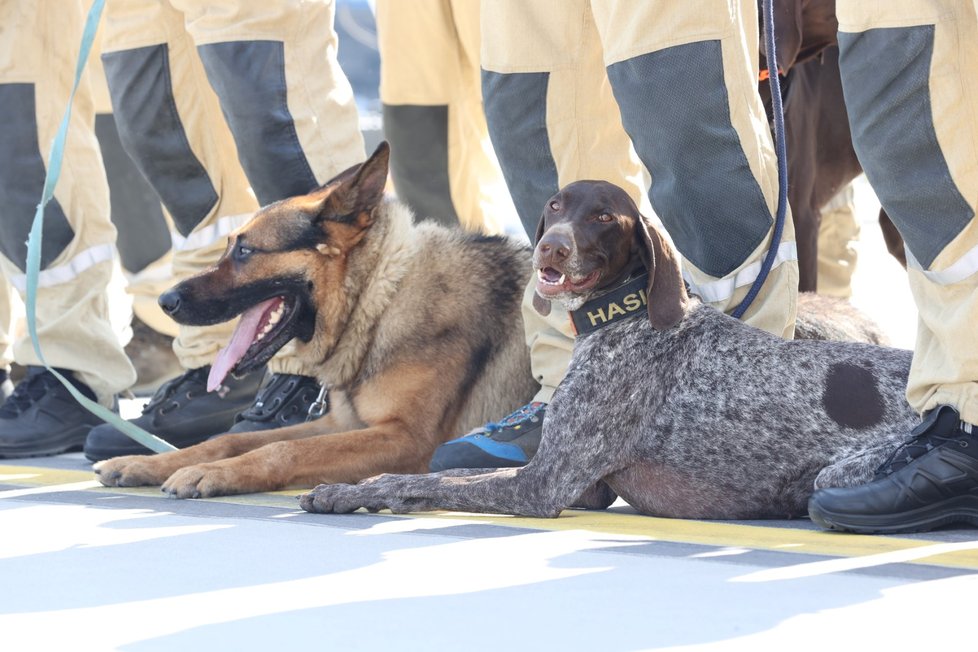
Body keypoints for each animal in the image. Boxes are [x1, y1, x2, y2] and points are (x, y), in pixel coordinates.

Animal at [94, 143, 536, 496]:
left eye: (244, 252)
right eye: (229, 247)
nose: (165, 301)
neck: (379, 301)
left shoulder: (406, 439)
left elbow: (282, 448)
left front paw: (211, 473)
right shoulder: (338, 423)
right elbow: (224, 441)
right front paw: (149, 462)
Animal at [300, 178, 916, 520]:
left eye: (602, 216)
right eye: (555, 205)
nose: (551, 247)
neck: (627, 318)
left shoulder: (542, 486)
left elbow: (420, 482)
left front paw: (361, 490)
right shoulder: (577, 485)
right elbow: (442, 478)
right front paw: (346, 489)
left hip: (840, 475)